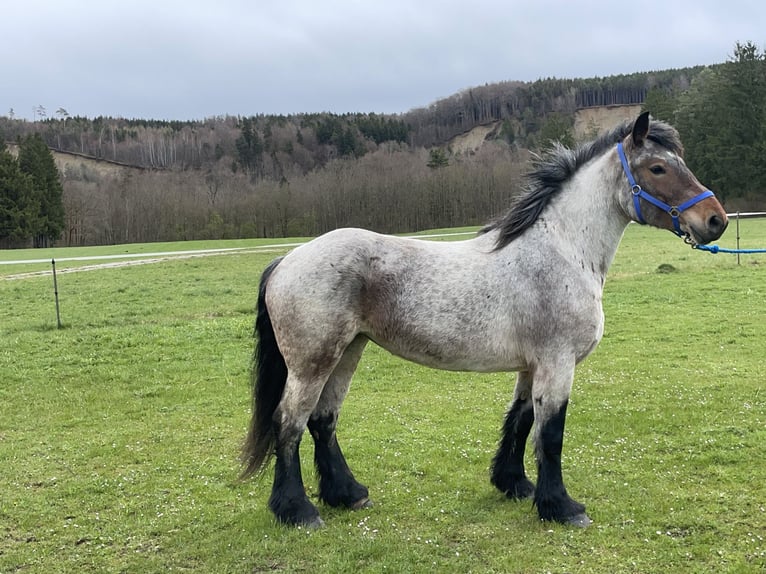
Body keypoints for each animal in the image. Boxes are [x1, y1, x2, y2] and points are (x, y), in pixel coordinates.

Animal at [243, 112, 728, 532]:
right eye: (658, 168)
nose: (715, 221)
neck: (563, 250)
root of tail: (287, 259)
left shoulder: (532, 366)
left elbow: (521, 420)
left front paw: (515, 485)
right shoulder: (557, 362)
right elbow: (551, 433)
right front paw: (562, 507)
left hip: (348, 352)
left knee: (322, 421)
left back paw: (347, 493)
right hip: (312, 363)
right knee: (289, 423)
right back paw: (298, 511)